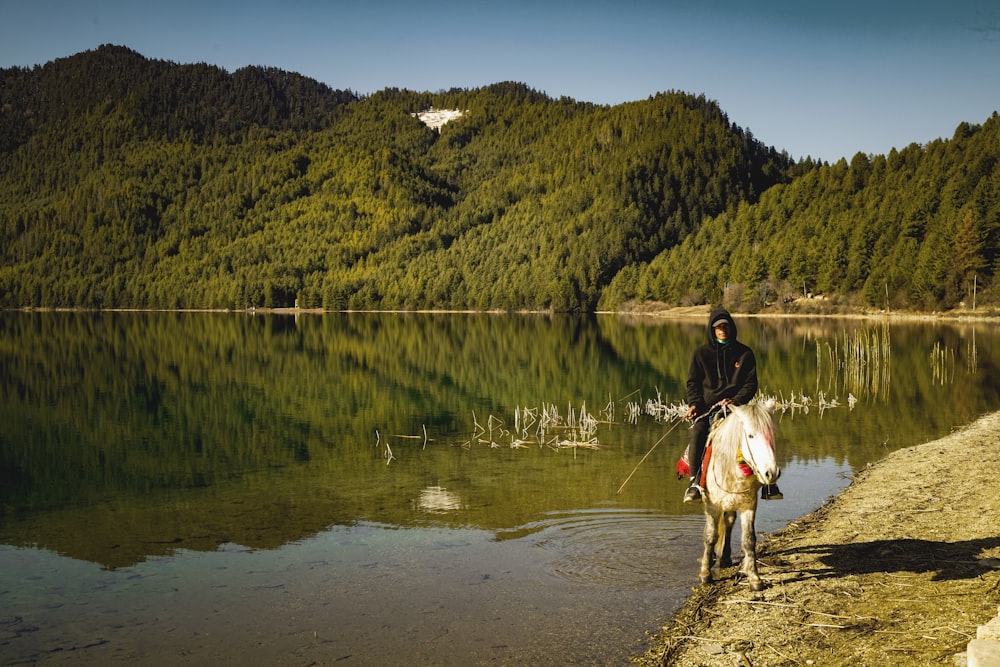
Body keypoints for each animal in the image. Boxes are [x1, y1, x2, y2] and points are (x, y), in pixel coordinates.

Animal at [696, 402, 780, 588]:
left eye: (772, 434)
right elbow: (710, 536)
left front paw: (754, 577)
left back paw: (725, 558)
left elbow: (748, 540)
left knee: (728, 524)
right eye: (750, 435)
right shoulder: (712, 506)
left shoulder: (749, 505)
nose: (771, 473)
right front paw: (705, 574)